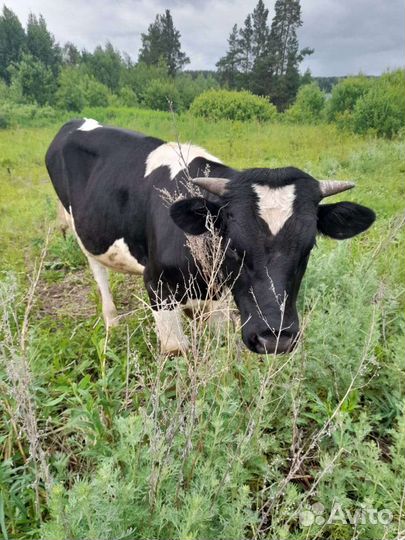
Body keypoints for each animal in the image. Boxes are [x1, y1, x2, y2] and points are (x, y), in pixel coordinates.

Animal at [45, 117, 376, 354]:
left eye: (307, 248)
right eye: (234, 246)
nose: (274, 339)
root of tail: (76, 122)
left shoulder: (218, 295)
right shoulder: (156, 285)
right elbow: (176, 351)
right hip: (82, 230)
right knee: (98, 271)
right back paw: (112, 322)